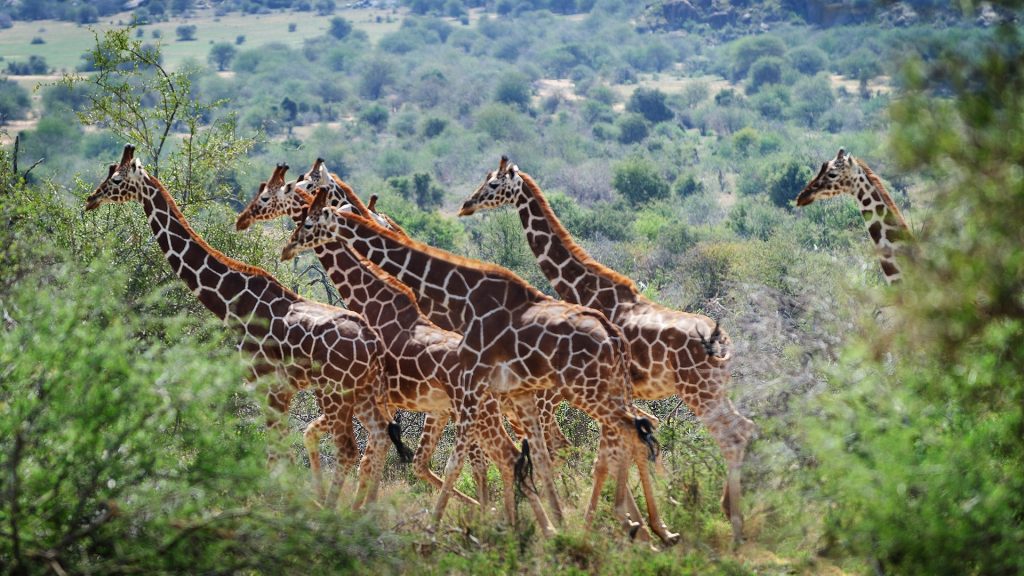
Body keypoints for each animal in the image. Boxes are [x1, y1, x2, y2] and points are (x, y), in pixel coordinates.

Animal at [83, 143, 411, 506]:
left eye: (116, 179)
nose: (91, 198)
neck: (233, 300)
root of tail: (374, 345)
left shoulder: (268, 384)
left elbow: (275, 454)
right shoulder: (280, 389)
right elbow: (279, 452)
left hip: (335, 392)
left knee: (350, 448)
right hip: (360, 392)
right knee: (379, 436)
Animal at [284, 188, 675, 541]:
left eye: (309, 221)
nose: (288, 245)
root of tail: (613, 335)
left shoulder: (450, 397)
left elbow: (427, 458)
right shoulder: (446, 402)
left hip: (573, 393)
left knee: (612, 436)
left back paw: (627, 523)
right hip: (575, 395)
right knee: (618, 433)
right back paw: (635, 524)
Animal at [460, 154, 757, 541]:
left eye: (493, 185)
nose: (467, 204)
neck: (587, 288)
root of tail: (722, 342)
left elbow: (607, 456)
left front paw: (615, 527)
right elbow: (625, 448)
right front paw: (646, 524)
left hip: (698, 391)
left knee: (732, 434)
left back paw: (734, 522)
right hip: (715, 389)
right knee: (745, 428)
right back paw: (732, 507)